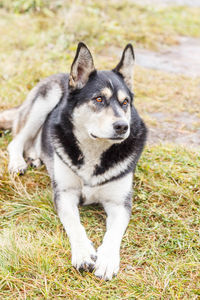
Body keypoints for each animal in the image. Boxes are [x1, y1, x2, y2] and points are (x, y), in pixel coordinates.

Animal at [0, 43, 147, 280]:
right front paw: (84, 253)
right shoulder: (65, 194)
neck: (94, 149)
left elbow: (113, 233)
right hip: (45, 100)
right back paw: (18, 163)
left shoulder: (119, 204)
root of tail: (61, 75)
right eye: (98, 99)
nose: (122, 126)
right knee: (17, 140)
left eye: (125, 103)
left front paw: (107, 260)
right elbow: (75, 224)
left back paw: (34, 156)